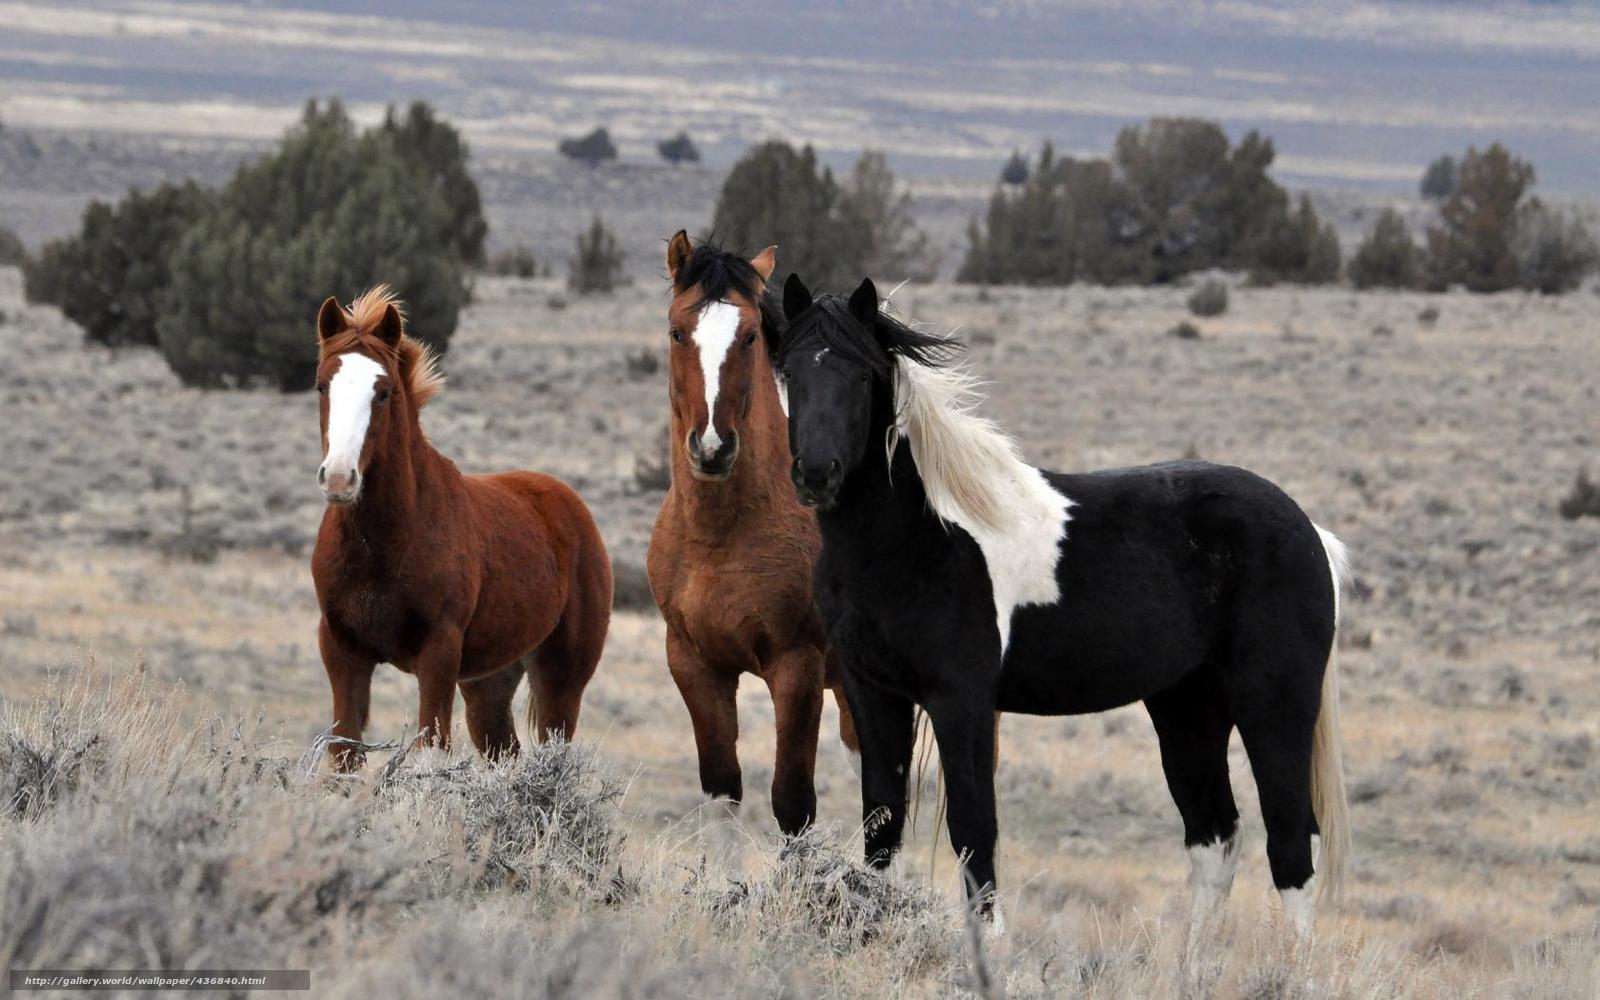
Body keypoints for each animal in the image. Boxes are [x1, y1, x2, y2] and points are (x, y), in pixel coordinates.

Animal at [310, 286, 612, 769]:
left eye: (383, 392)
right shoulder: (343, 651)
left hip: (561, 680)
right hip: (488, 684)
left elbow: (430, 749)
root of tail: (569, 504)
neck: (383, 544)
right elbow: (344, 754)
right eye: (322, 385)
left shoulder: (439, 656)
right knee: (505, 751)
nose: (339, 478)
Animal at [646, 233, 859, 838]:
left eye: (749, 336)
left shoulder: (796, 667)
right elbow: (723, 790)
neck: (720, 539)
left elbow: (792, 804)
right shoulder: (696, 665)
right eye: (677, 331)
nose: (712, 446)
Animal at [775, 274, 1351, 946]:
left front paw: (990, 950)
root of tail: (1309, 531)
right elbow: (882, 825)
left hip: (1274, 704)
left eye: (863, 375)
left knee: (1292, 843)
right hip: (1188, 705)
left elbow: (974, 829)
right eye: (788, 369)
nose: (817, 473)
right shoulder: (873, 692)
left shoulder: (960, 699)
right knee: (1215, 839)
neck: (919, 536)